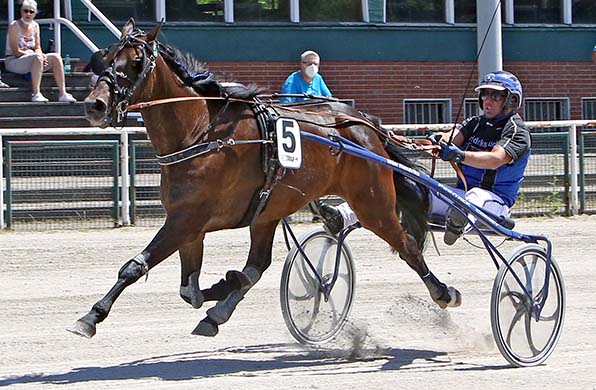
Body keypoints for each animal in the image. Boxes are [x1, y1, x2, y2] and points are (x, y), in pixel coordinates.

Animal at [68, 20, 460, 338]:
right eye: (105, 58)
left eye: (135, 62)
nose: (95, 105)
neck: (200, 133)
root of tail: (364, 123)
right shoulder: (190, 225)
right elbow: (189, 290)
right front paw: (219, 292)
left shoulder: (186, 220)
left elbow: (135, 267)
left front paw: (91, 317)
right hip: (270, 210)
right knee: (257, 265)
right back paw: (222, 306)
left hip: (372, 202)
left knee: (407, 245)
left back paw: (444, 292)